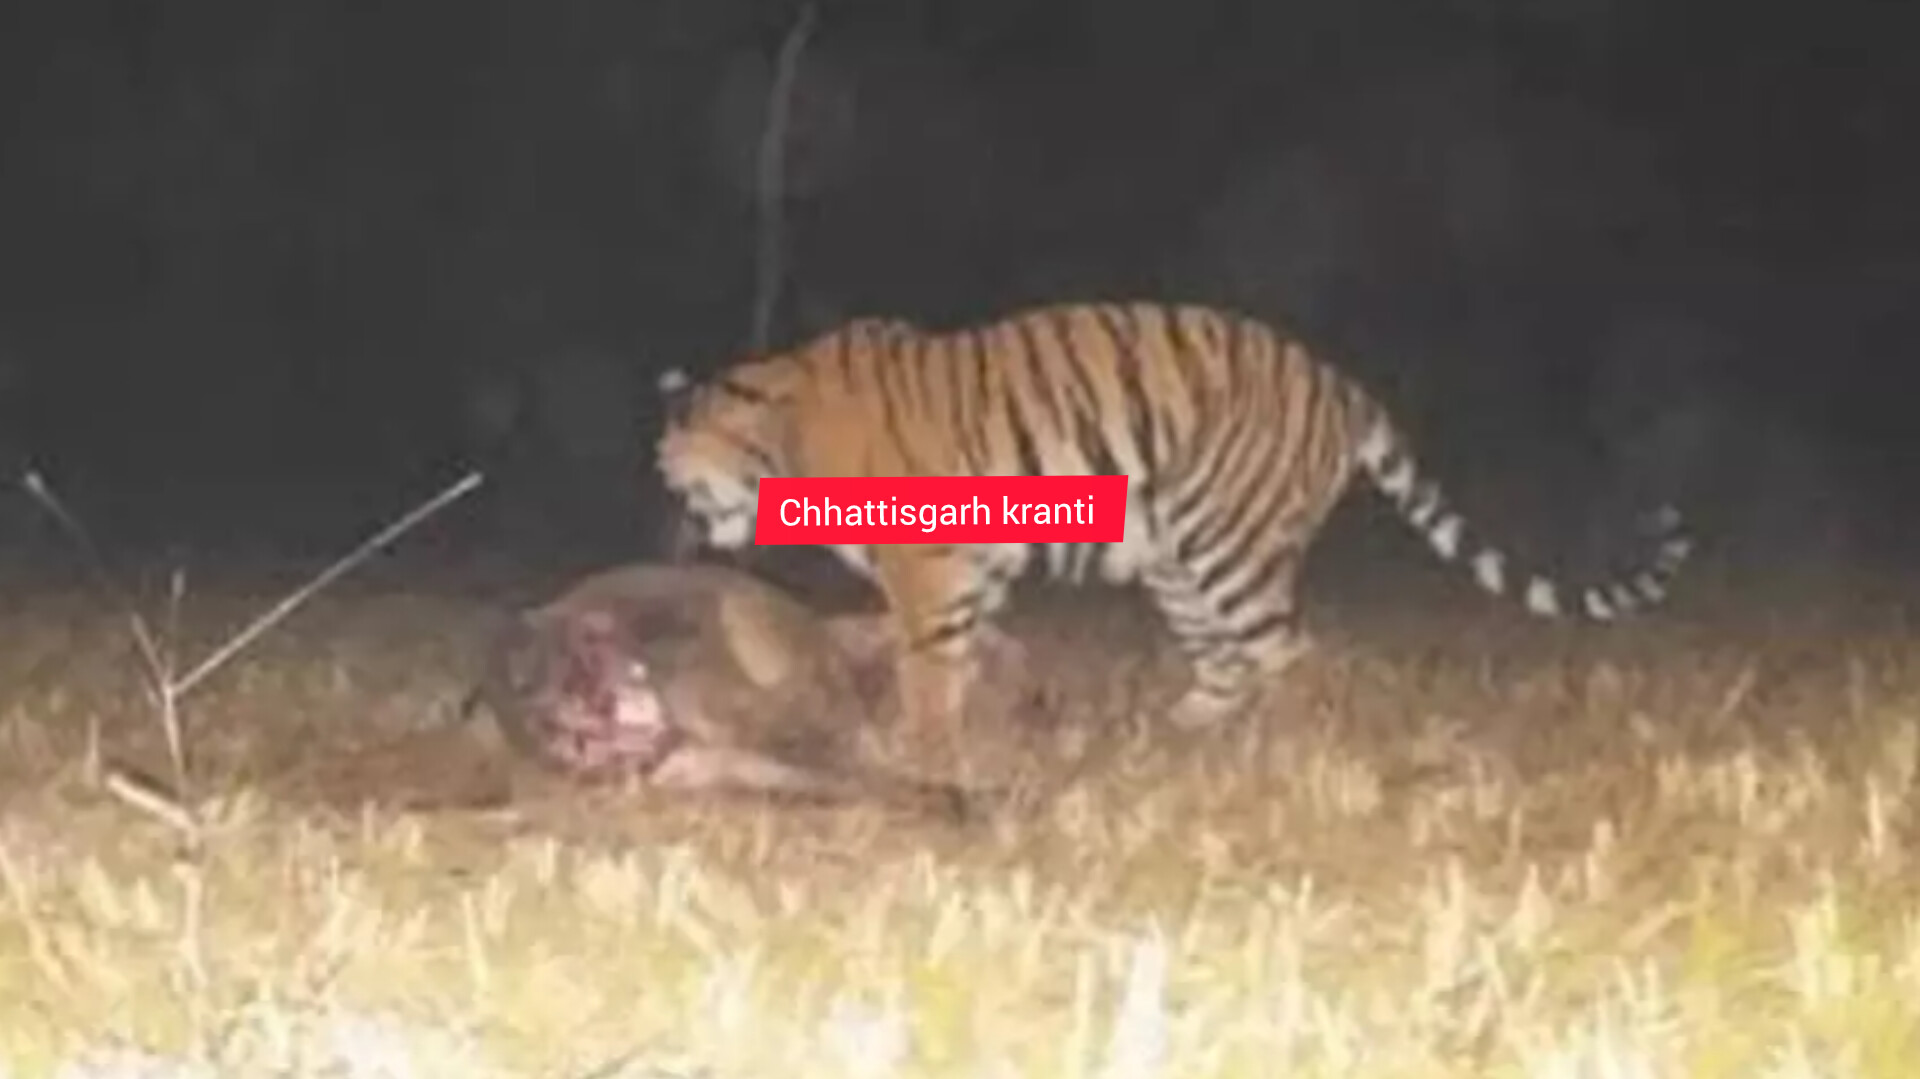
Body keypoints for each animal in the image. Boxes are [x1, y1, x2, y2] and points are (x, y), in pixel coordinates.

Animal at [654, 301, 1693, 751]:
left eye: (672, 463)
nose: (669, 504)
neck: (783, 437)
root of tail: (1343, 386)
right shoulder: (969, 568)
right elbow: (965, 654)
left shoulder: (928, 565)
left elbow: (928, 668)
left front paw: (925, 747)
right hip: (1176, 557)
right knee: (1231, 662)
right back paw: (1178, 732)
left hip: (1227, 544)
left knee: (1291, 655)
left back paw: (1286, 760)